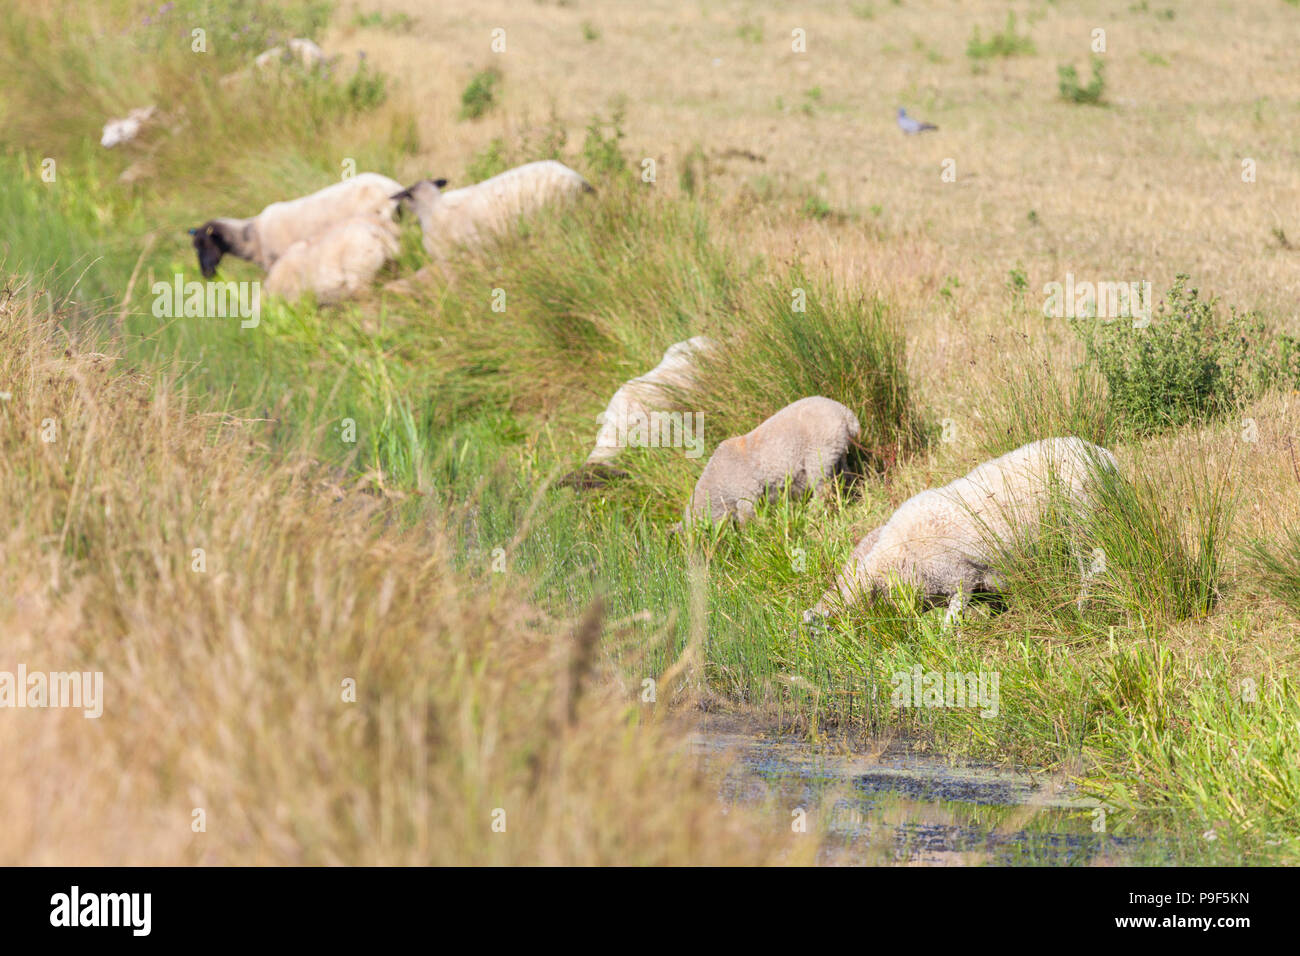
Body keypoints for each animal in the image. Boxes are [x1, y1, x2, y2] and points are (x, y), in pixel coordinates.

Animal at [686, 395, 857, 530]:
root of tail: (846, 415)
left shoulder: (746, 493)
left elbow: (747, 519)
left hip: (818, 455)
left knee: (823, 490)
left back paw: (812, 514)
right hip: (837, 451)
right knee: (846, 476)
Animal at [800, 434, 1118, 629]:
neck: (896, 556)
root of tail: (1102, 454)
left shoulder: (962, 578)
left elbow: (949, 626)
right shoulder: (981, 582)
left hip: (1081, 521)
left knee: (1091, 567)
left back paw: (1083, 604)